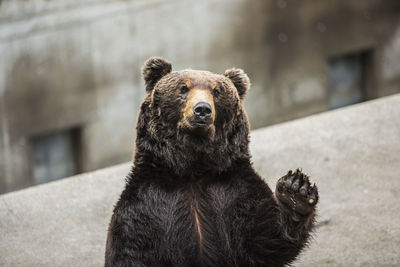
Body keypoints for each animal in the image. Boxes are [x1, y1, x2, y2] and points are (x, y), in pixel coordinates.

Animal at [105, 57, 318, 266]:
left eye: (216, 92)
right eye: (183, 88)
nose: (202, 110)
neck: (193, 171)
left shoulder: (234, 192)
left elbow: (266, 237)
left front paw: (295, 192)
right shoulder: (146, 206)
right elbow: (132, 250)